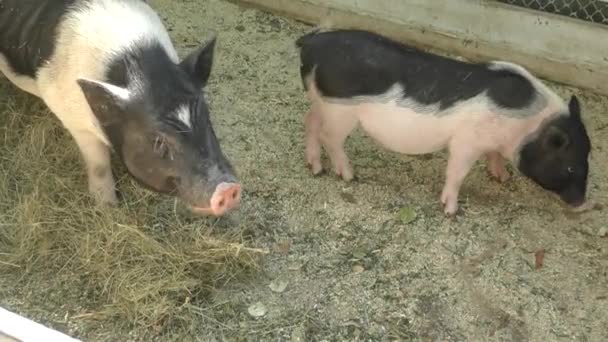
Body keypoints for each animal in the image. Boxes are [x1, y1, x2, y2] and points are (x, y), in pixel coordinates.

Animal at [0, 0, 242, 216]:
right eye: (158, 141)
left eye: (205, 118)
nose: (227, 188)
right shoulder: (72, 117)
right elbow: (98, 164)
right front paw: (108, 208)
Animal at [296, 30, 592, 216]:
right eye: (569, 166)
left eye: (588, 157)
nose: (582, 203)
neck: (526, 127)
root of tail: (312, 44)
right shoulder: (466, 142)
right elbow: (457, 173)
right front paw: (451, 211)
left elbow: (494, 156)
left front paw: (502, 177)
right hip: (340, 112)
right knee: (329, 137)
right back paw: (348, 175)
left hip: (321, 103)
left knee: (309, 122)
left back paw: (315, 169)